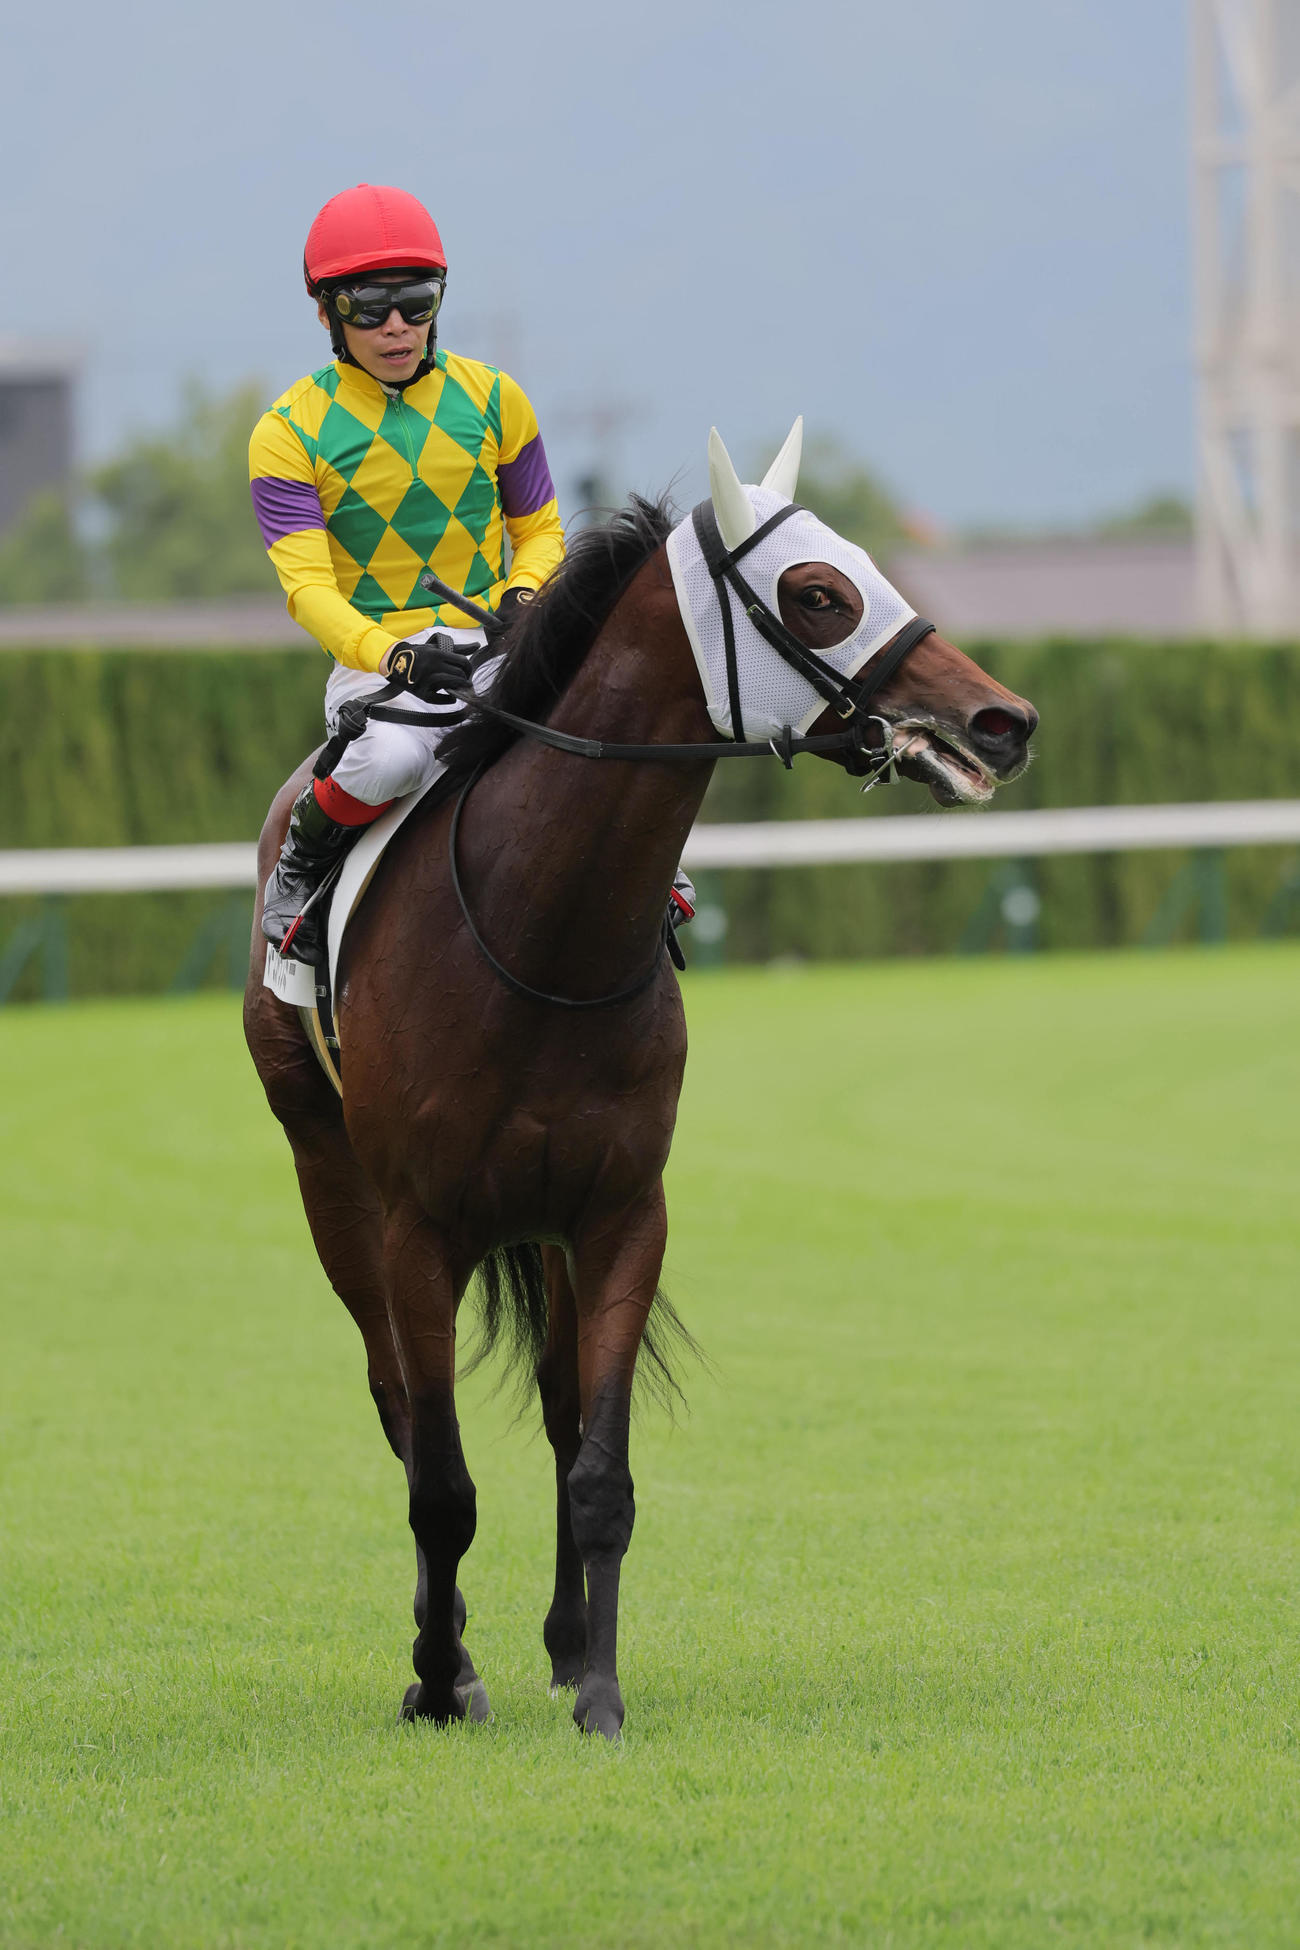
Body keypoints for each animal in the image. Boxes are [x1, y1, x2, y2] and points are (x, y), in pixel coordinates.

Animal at [243, 423, 1038, 1740]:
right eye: (817, 596)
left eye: (866, 563)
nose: (1001, 719)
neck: (538, 936)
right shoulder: (419, 1228)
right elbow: (440, 1482)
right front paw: (438, 1677)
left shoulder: (618, 1213)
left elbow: (598, 1465)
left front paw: (599, 1687)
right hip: (327, 1181)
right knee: (399, 1407)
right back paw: (447, 1652)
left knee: (556, 1406)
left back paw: (561, 1643)